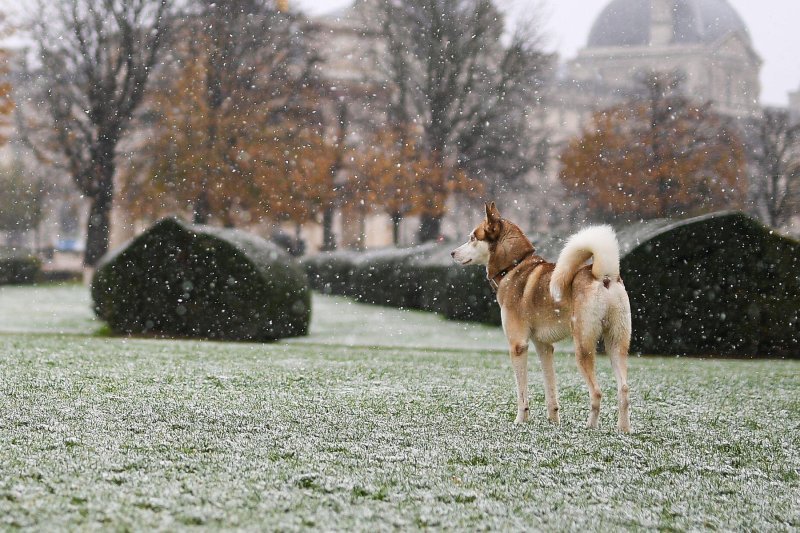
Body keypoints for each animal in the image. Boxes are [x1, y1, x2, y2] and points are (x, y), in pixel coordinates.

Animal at [450, 202, 632, 430]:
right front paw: (553, 422)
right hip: (616, 344)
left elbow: (522, 394)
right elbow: (550, 390)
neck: (514, 266)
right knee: (624, 389)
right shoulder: (544, 346)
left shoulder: (518, 346)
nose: (452, 253)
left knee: (597, 392)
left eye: (473, 237)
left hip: (583, 347)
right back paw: (624, 430)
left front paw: (520, 420)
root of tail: (604, 276)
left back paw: (589, 427)